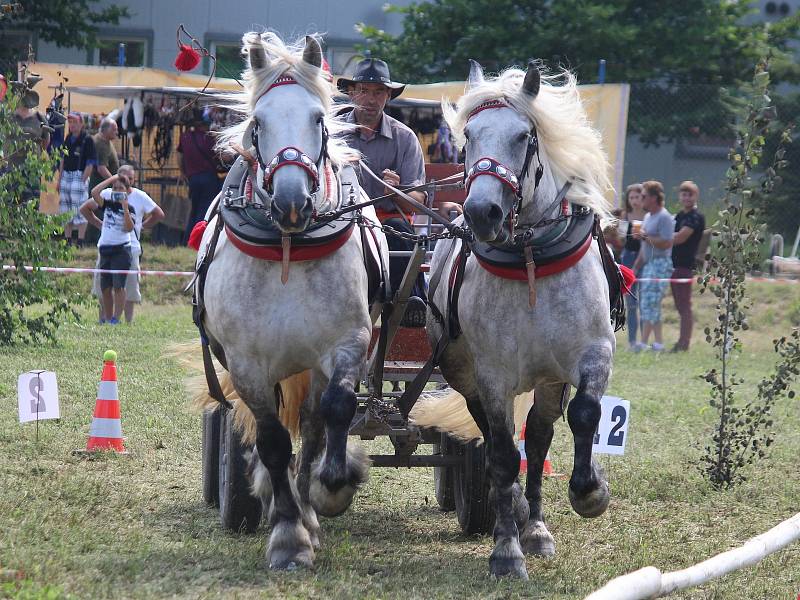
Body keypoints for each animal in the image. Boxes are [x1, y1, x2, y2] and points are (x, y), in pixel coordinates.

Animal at [198, 32, 390, 572]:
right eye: (258, 122)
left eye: (318, 119)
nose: (291, 202)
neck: (288, 244)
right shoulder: (246, 363)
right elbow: (270, 440)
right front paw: (287, 536)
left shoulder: (348, 342)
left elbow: (335, 411)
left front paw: (330, 490)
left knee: (313, 421)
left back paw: (309, 504)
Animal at [412, 59, 620, 576]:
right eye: (468, 137)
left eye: (525, 136)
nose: (481, 211)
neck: (530, 259)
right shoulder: (493, 373)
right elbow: (504, 455)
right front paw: (506, 550)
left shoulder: (593, 353)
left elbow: (584, 416)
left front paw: (590, 492)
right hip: (467, 376)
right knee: (491, 439)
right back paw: (519, 515)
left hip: (546, 379)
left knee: (541, 437)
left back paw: (537, 527)